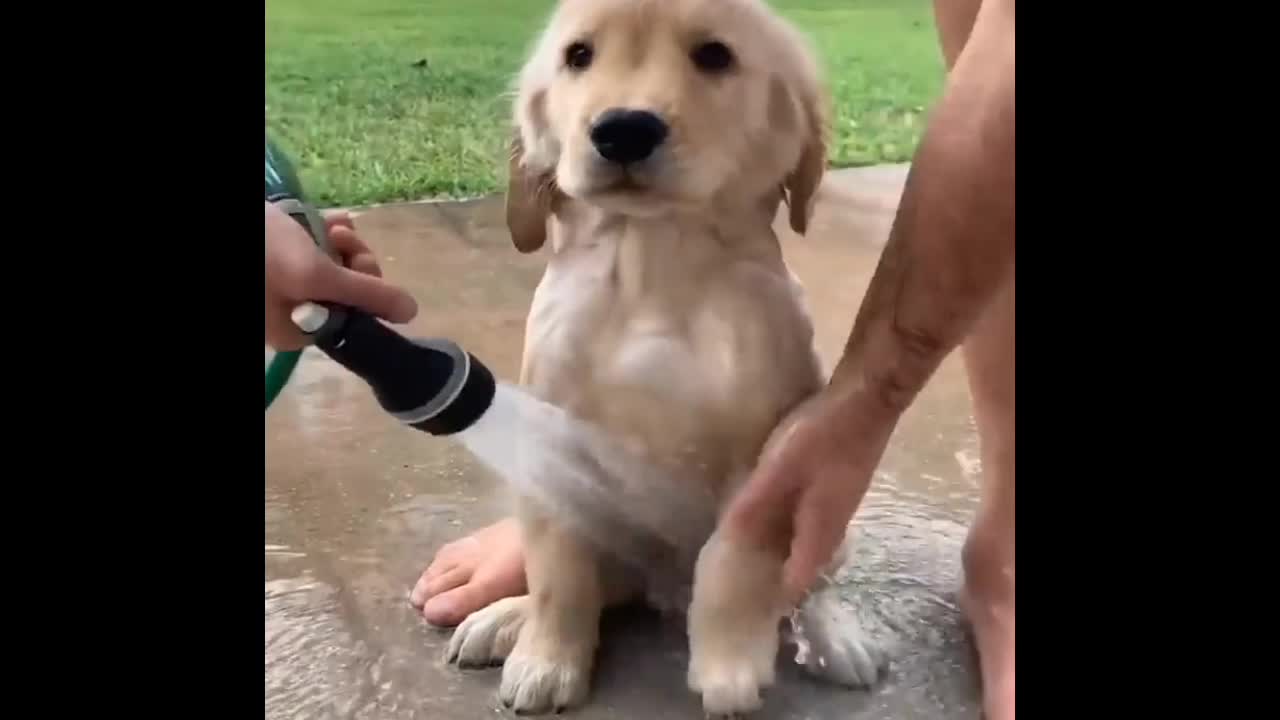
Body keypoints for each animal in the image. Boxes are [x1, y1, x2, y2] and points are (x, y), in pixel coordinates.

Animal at [448, 0, 880, 712]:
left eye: (714, 55)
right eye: (578, 56)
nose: (623, 130)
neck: (653, 261)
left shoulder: (765, 460)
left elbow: (733, 562)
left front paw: (728, 667)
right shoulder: (551, 450)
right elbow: (560, 571)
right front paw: (546, 659)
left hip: (828, 515)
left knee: (807, 588)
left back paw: (835, 638)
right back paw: (506, 619)